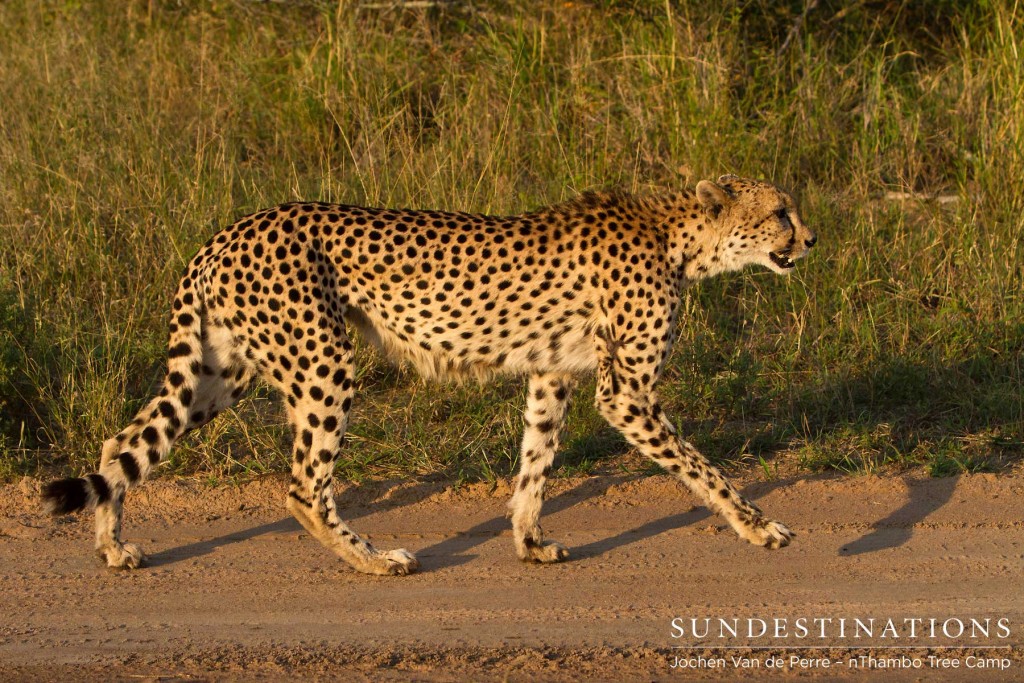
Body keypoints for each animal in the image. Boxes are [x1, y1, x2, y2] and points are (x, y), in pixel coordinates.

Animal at [44, 174, 819, 573]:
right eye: (781, 210)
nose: (811, 239)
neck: (681, 236)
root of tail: (228, 231)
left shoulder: (553, 375)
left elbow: (535, 464)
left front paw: (529, 541)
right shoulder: (624, 391)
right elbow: (702, 467)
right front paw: (760, 527)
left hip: (221, 371)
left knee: (122, 445)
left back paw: (112, 546)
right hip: (323, 363)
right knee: (302, 485)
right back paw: (374, 558)